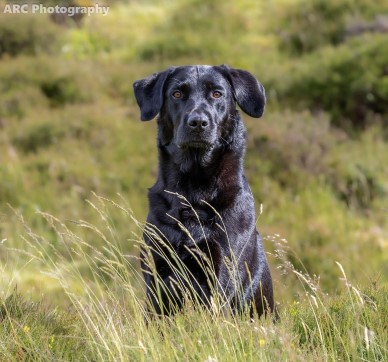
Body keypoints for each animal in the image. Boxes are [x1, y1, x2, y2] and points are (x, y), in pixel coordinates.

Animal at [135, 65, 274, 316]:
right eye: (177, 94)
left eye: (217, 94)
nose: (198, 122)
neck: (193, 192)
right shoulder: (157, 276)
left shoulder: (221, 274)